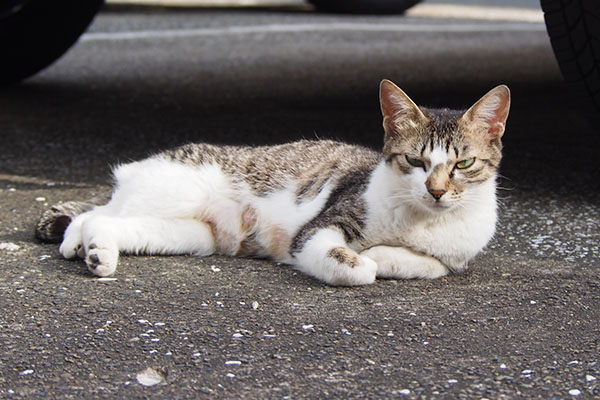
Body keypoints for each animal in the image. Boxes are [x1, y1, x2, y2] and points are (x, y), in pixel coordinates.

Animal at [35, 79, 508, 284]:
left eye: (464, 164)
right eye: (415, 160)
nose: (437, 190)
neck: (421, 221)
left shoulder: (452, 258)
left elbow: (428, 265)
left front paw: (385, 256)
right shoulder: (320, 227)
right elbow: (348, 265)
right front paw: (363, 262)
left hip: (187, 234)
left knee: (110, 221)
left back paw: (97, 252)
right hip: (169, 194)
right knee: (97, 211)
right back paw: (76, 241)